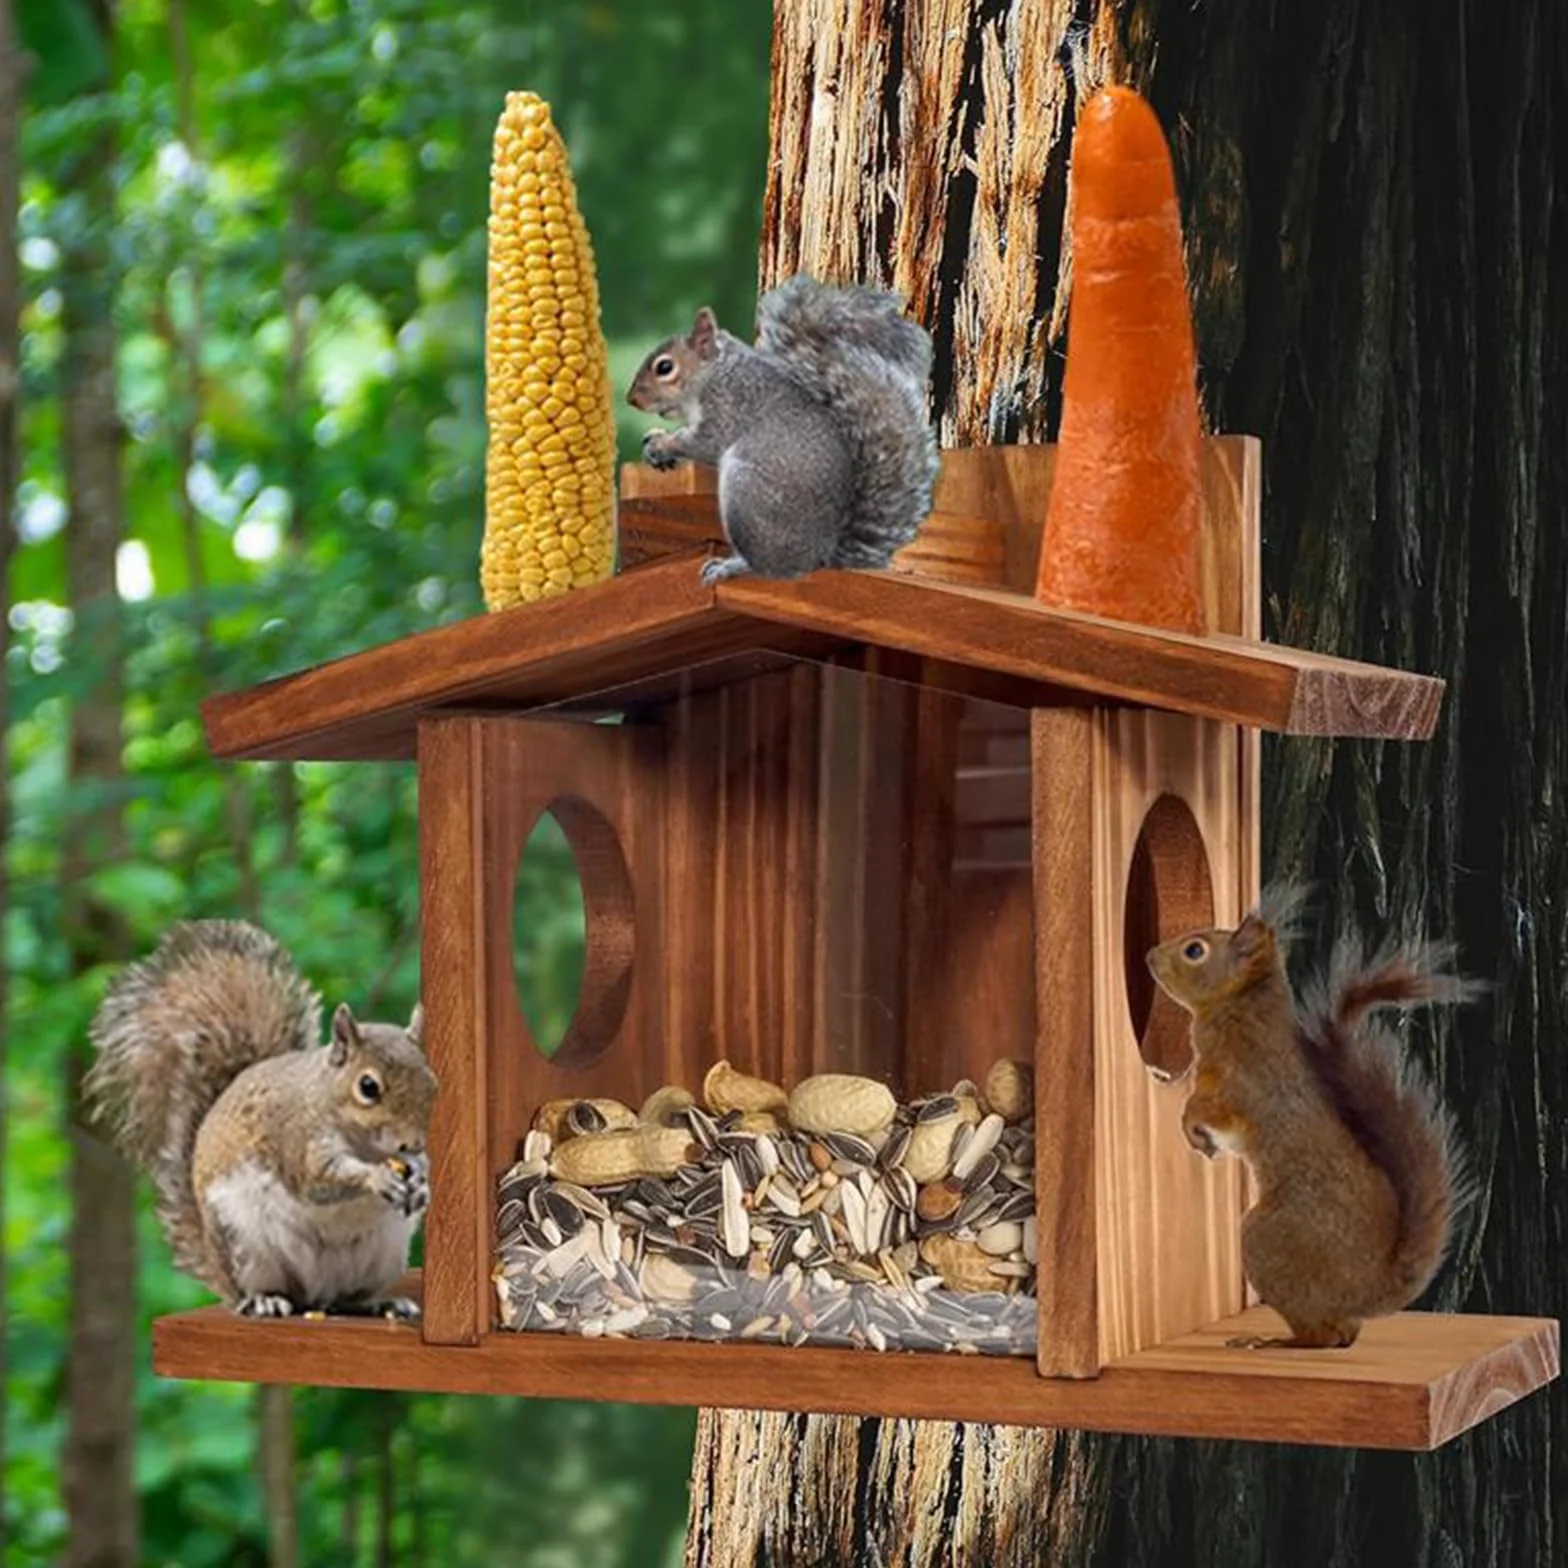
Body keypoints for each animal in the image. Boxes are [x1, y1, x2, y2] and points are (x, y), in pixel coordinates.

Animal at [85, 919, 438, 1321]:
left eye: (432, 1082)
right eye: (368, 1087)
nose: (413, 1143)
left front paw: (422, 1181)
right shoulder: (297, 1139)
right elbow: (320, 1179)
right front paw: (377, 1178)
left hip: (382, 1254)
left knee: (344, 1299)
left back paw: (380, 1303)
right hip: (244, 1244)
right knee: (265, 1290)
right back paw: (265, 1299)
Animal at [626, 274, 940, 585]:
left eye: (664, 367)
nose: (632, 400)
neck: (714, 371)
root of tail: (819, 556)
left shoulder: (728, 405)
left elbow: (705, 442)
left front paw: (662, 444)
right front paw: (654, 438)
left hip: (746, 492)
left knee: (770, 567)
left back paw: (732, 566)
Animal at [1147, 887, 1472, 1349]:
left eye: (1195, 950)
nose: (1149, 956)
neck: (1241, 1005)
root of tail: (1370, 1289)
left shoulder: (1238, 1083)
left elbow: (1207, 1110)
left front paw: (1192, 1129)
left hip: (1269, 1243)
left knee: (1322, 1336)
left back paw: (1276, 1342)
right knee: (1343, 1335)